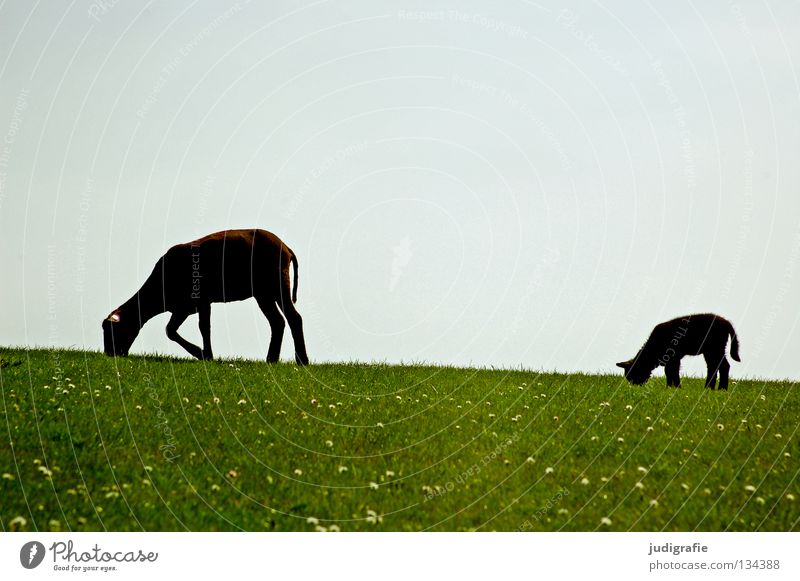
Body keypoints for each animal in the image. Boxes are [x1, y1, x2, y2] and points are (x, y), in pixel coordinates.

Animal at [101, 227, 308, 362]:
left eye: (113, 331)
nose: (110, 354)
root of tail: (286, 247)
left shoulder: (201, 301)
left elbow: (203, 327)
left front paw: (205, 354)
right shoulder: (183, 307)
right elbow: (170, 330)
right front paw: (201, 353)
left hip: (277, 284)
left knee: (294, 318)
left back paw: (302, 360)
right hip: (264, 293)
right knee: (278, 322)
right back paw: (272, 359)